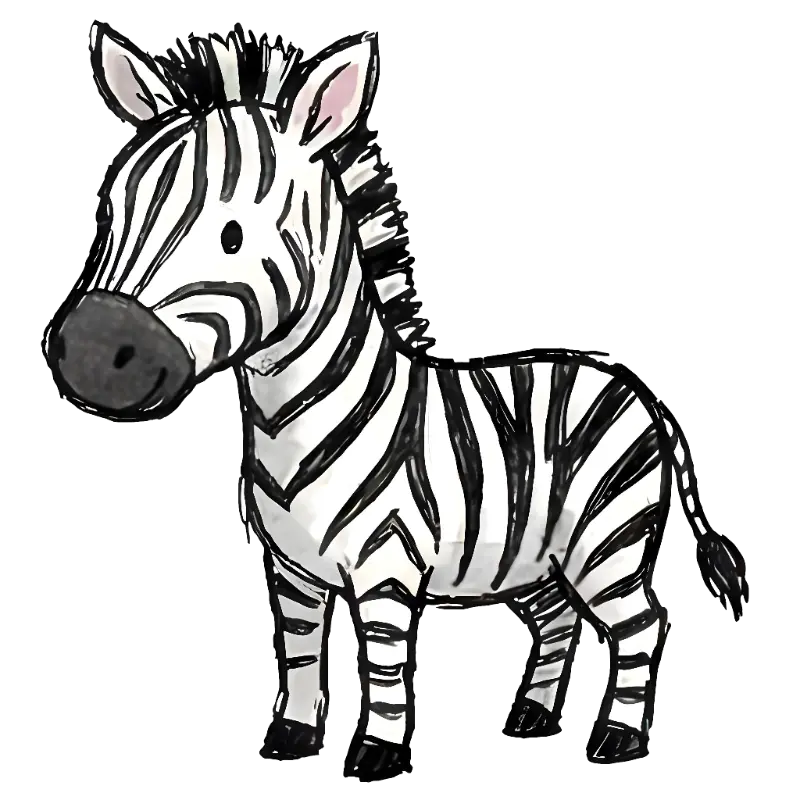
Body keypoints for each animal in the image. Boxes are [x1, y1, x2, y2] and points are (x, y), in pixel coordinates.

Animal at [42, 23, 750, 781]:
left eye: (232, 236)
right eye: (110, 214)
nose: (87, 352)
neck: (289, 421)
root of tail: (644, 394)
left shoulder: (386, 567)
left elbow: (382, 662)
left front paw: (376, 755)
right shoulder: (290, 570)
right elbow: (298, 653)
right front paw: (292, 739)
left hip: (606, 541)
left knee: (642, 622)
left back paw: (616, 741)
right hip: (533, 549)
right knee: (556, 617)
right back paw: (530, 718)